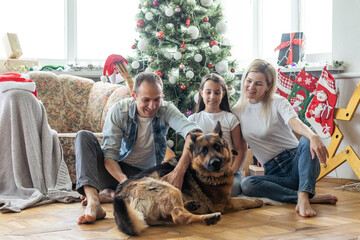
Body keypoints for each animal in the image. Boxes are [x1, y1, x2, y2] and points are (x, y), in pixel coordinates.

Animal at [114, 123, 262, 235]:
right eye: (203, 151)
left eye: (217, 147)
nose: (215, 163)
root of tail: (121, 196)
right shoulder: (224, 203)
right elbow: (242, 201)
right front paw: (257, 201)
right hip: (169, 188)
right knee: (179, 217)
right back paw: (208, 218)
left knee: (173, 213)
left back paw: (191, 205)